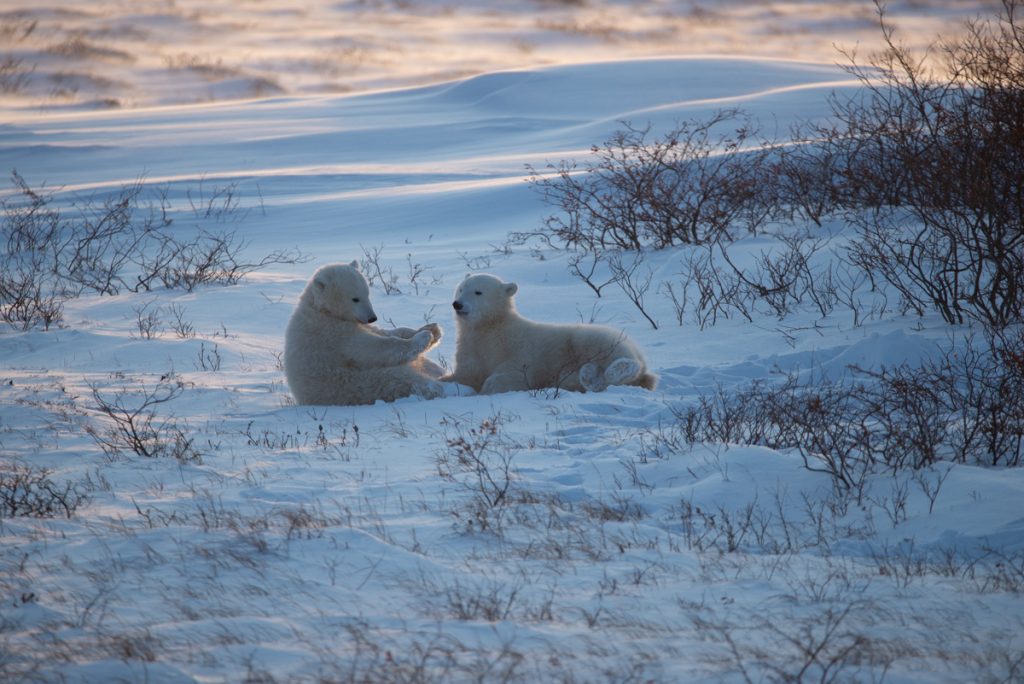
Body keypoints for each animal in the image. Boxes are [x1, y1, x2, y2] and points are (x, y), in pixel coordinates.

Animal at [284, 259, 444, 403]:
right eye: (355, 299)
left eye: (367, 293)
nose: (372, 317)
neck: (322, 310)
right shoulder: (331, 333)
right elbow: (370, 347)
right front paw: (423, 337)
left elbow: (383, 331)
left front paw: (431, 329)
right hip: (361, 383)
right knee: (406, 381)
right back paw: (439, 387)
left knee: (430, 366)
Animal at [446, 270, 655, 393]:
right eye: (461, 289)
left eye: (478, 292)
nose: (457, 304)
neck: (491, 328)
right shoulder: (471, 349)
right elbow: (465, 374)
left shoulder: (517, 349)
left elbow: (516, 374)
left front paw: (487, 387)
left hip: (593, 339)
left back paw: (604, 372)